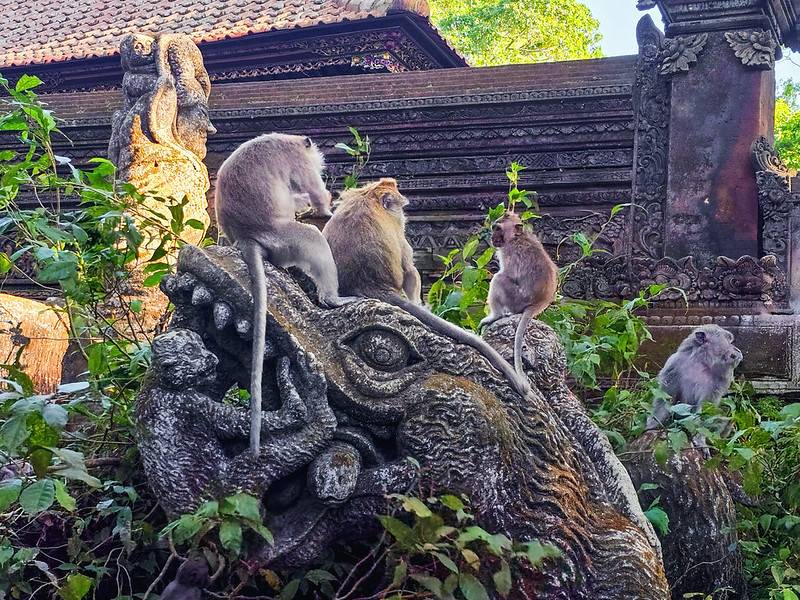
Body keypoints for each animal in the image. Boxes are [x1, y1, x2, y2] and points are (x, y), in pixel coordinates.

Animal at [215, 132, 353, 457]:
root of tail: (246, 237)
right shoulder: (298, 160)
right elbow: (314, 190)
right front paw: (325, 208)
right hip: (285, 240)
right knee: (312, 238)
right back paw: (333, 298)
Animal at [478, 211, 559, 379]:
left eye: (498, 229)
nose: (492, 237)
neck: (517, 237)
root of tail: (538, 304)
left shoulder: (509, 251)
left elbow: (507, 274)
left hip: (516, 299)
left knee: (499, 279)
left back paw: (495, 316)